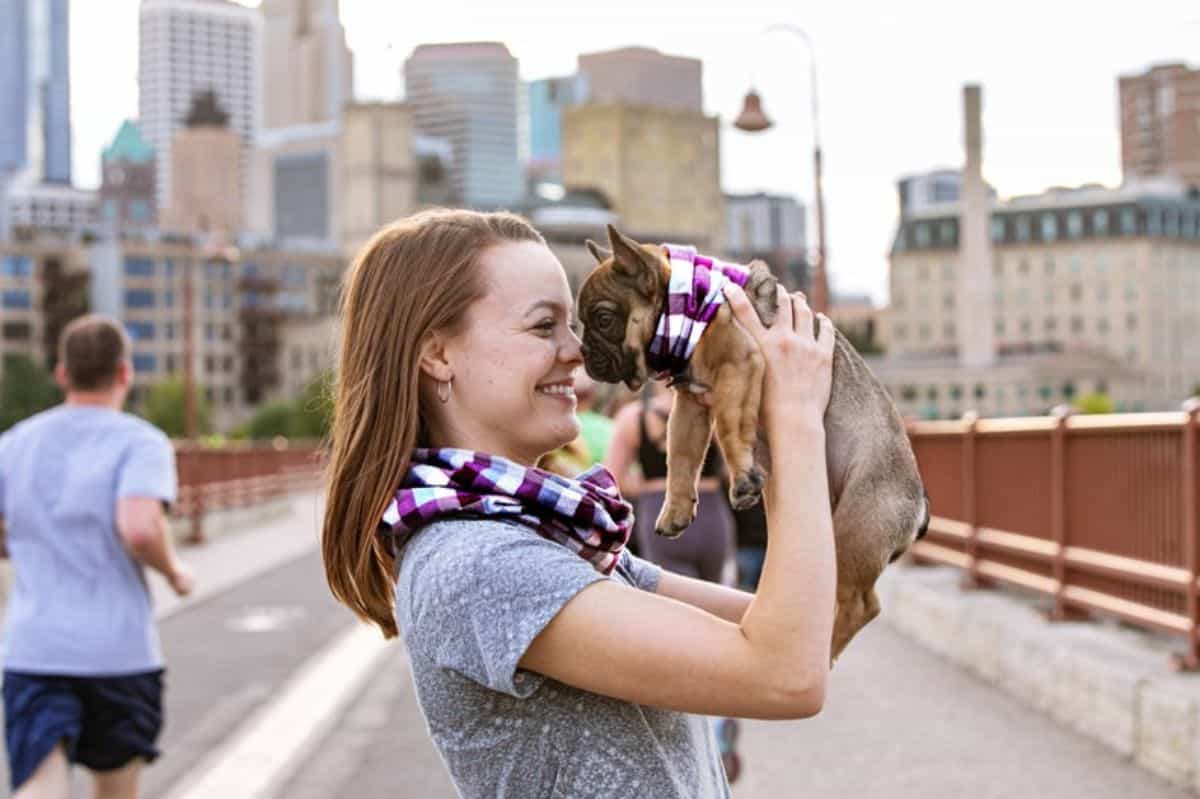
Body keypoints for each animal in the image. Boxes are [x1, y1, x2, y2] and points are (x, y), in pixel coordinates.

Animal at [576, 221, 931, 652]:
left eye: (603, 318)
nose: (582, 351)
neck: (686, 308)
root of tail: (919, 504)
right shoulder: (690, 406)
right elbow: (681, 458)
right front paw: (676, 509)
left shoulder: (737, 366)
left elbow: (731, 428)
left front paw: (743, 478)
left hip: (857, 529)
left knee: (862, 604)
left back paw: (827, 650)